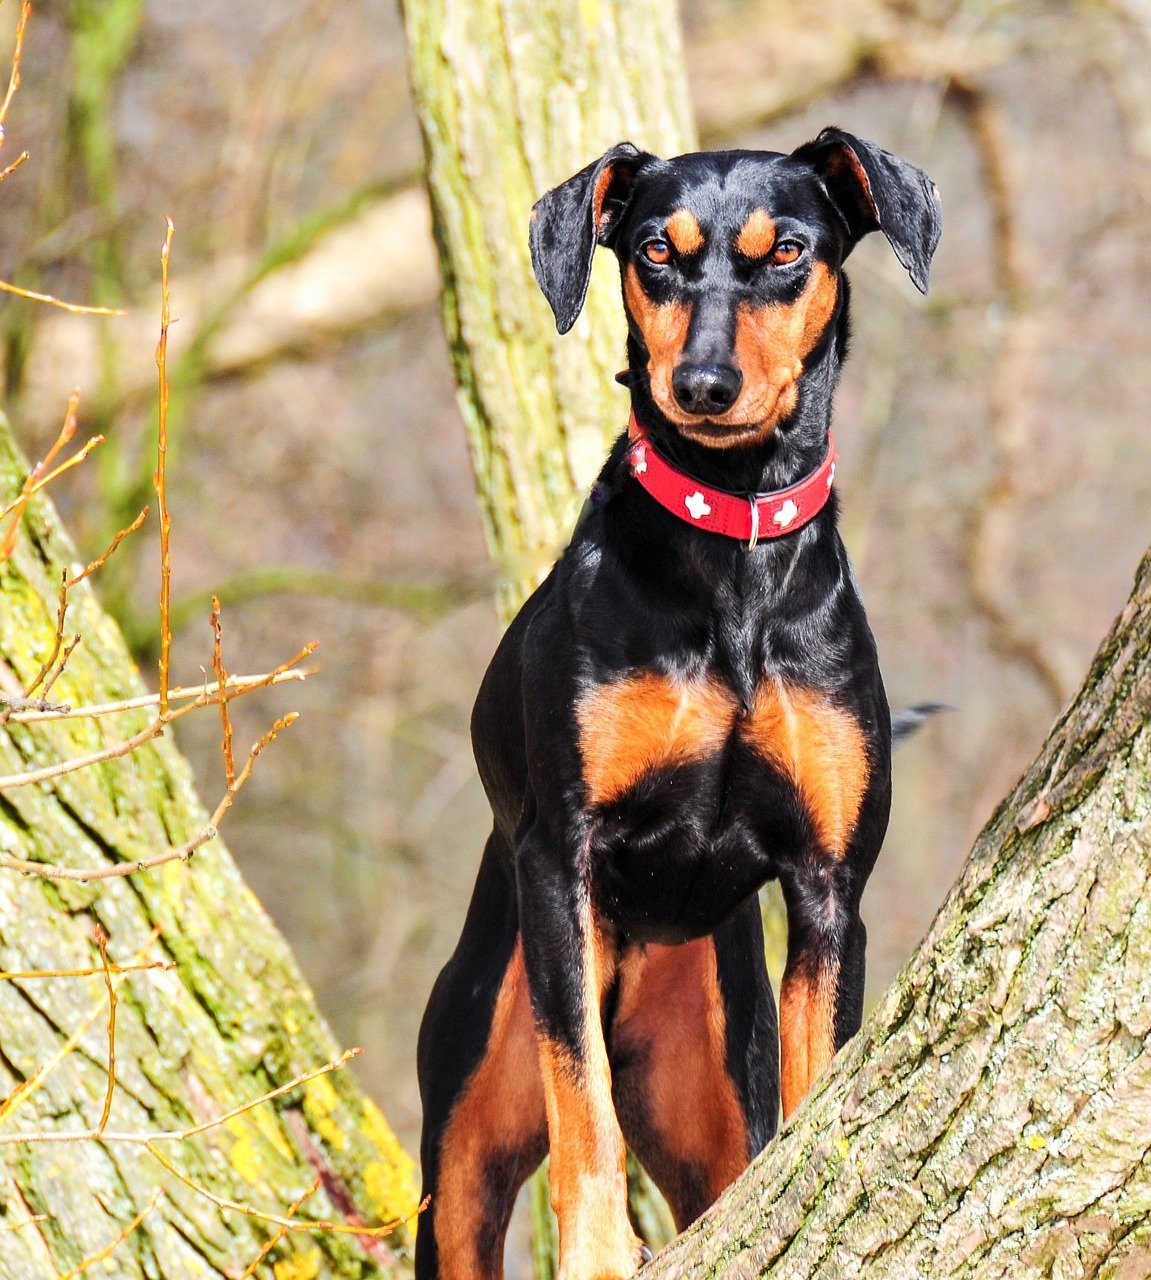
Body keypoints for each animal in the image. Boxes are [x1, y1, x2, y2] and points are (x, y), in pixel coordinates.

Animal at [417, 122, 942, 1280]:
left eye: (785, 250)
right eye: (656, 249)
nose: (701, 382)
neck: (732, 544)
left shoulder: (827, 884)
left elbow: (810, 1084)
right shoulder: (559, 856)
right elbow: (582, 1107)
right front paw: (597, 1250)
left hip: (705, 1076)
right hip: (468, 1115)